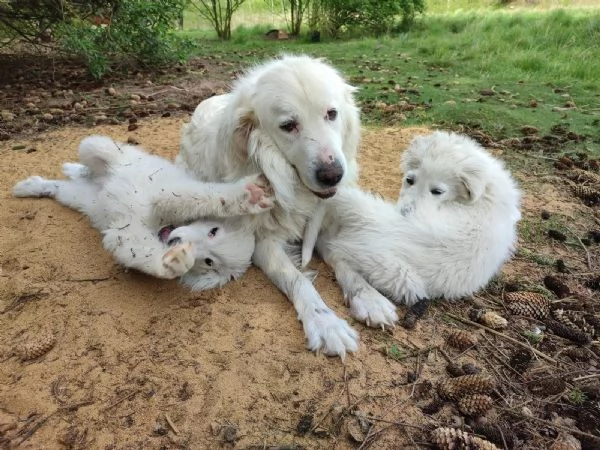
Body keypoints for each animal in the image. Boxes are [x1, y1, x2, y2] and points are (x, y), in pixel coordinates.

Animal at [12, 135, 274, 290]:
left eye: (209, 262)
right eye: (213, 231)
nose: (176, 242)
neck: (160, 227)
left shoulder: (124, 234)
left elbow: (142, 254)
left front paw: (174, 262)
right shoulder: (168, 195)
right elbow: (201, 198)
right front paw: (248, 195)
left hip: (79, 197)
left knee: (58, 186)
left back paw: (29, 186)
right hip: (99, 147)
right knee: (93, 159)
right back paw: (75, 168)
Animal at [171, 54, 364, 356]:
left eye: (331, 114)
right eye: (288, 126)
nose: (333, 175)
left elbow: (339, 254)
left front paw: (369, 297)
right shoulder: (263, 242)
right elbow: (296, 278)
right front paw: (326, 324)